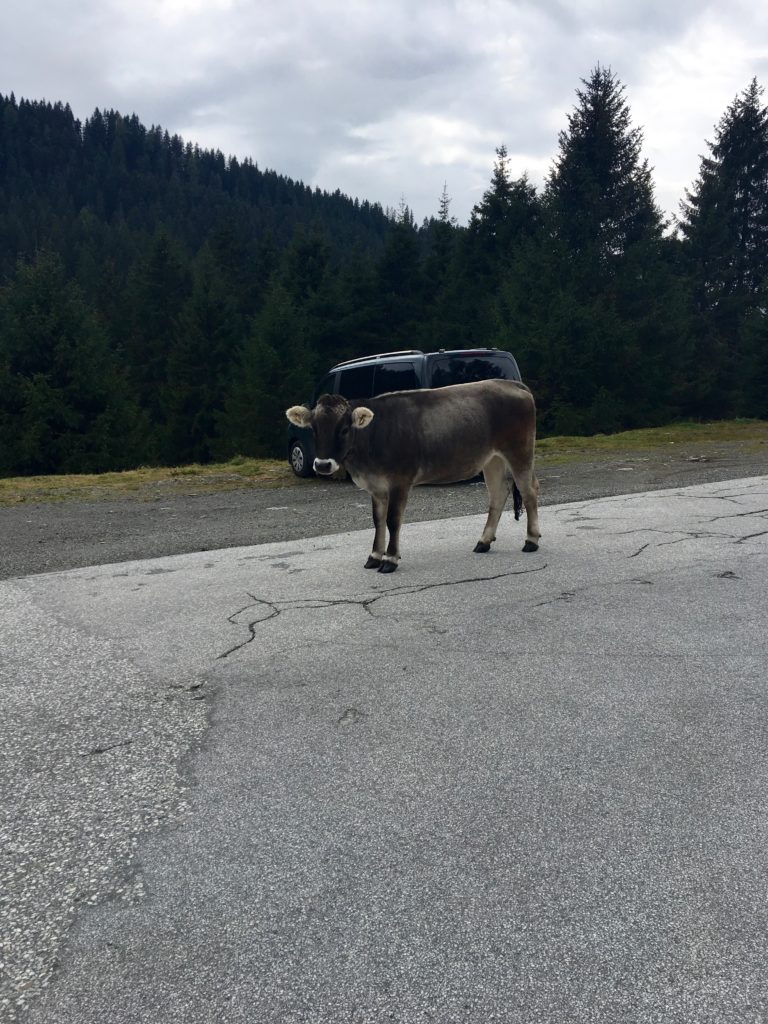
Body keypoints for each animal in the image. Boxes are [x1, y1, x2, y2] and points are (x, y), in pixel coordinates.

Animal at [286, 378, 544, 573]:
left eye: (344, 429)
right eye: (314, 429)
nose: (322, 464)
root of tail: (511, 383)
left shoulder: (400, 481)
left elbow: (392, 520)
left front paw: (390, 559)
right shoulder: (376, 486)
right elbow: (377, 520)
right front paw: (374, 555)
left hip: (519, 450)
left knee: (530, 490)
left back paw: (531, 540)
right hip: (492, 459)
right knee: (498, 494)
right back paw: (484, 541)